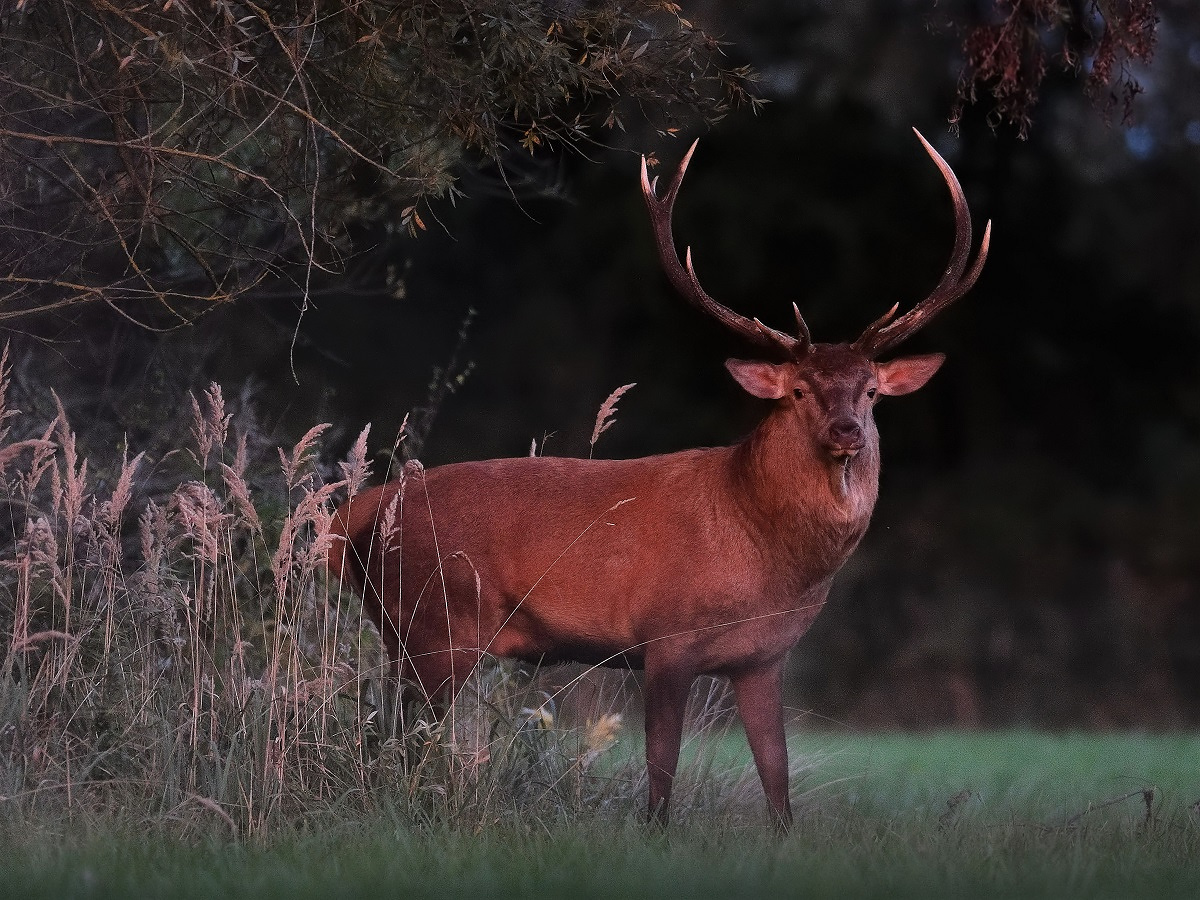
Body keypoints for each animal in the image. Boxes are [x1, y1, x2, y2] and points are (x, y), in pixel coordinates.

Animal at [326, 127, 984, 830]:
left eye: (872, 392)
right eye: (800, 390)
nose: (847, 432)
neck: (761, 548)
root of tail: (355, 514)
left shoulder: (764, 658)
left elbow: (777, 776)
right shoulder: (665, 638)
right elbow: (661, 767)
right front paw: (656, 833)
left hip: (406, 630)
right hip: (434, 623)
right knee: (395, 737)